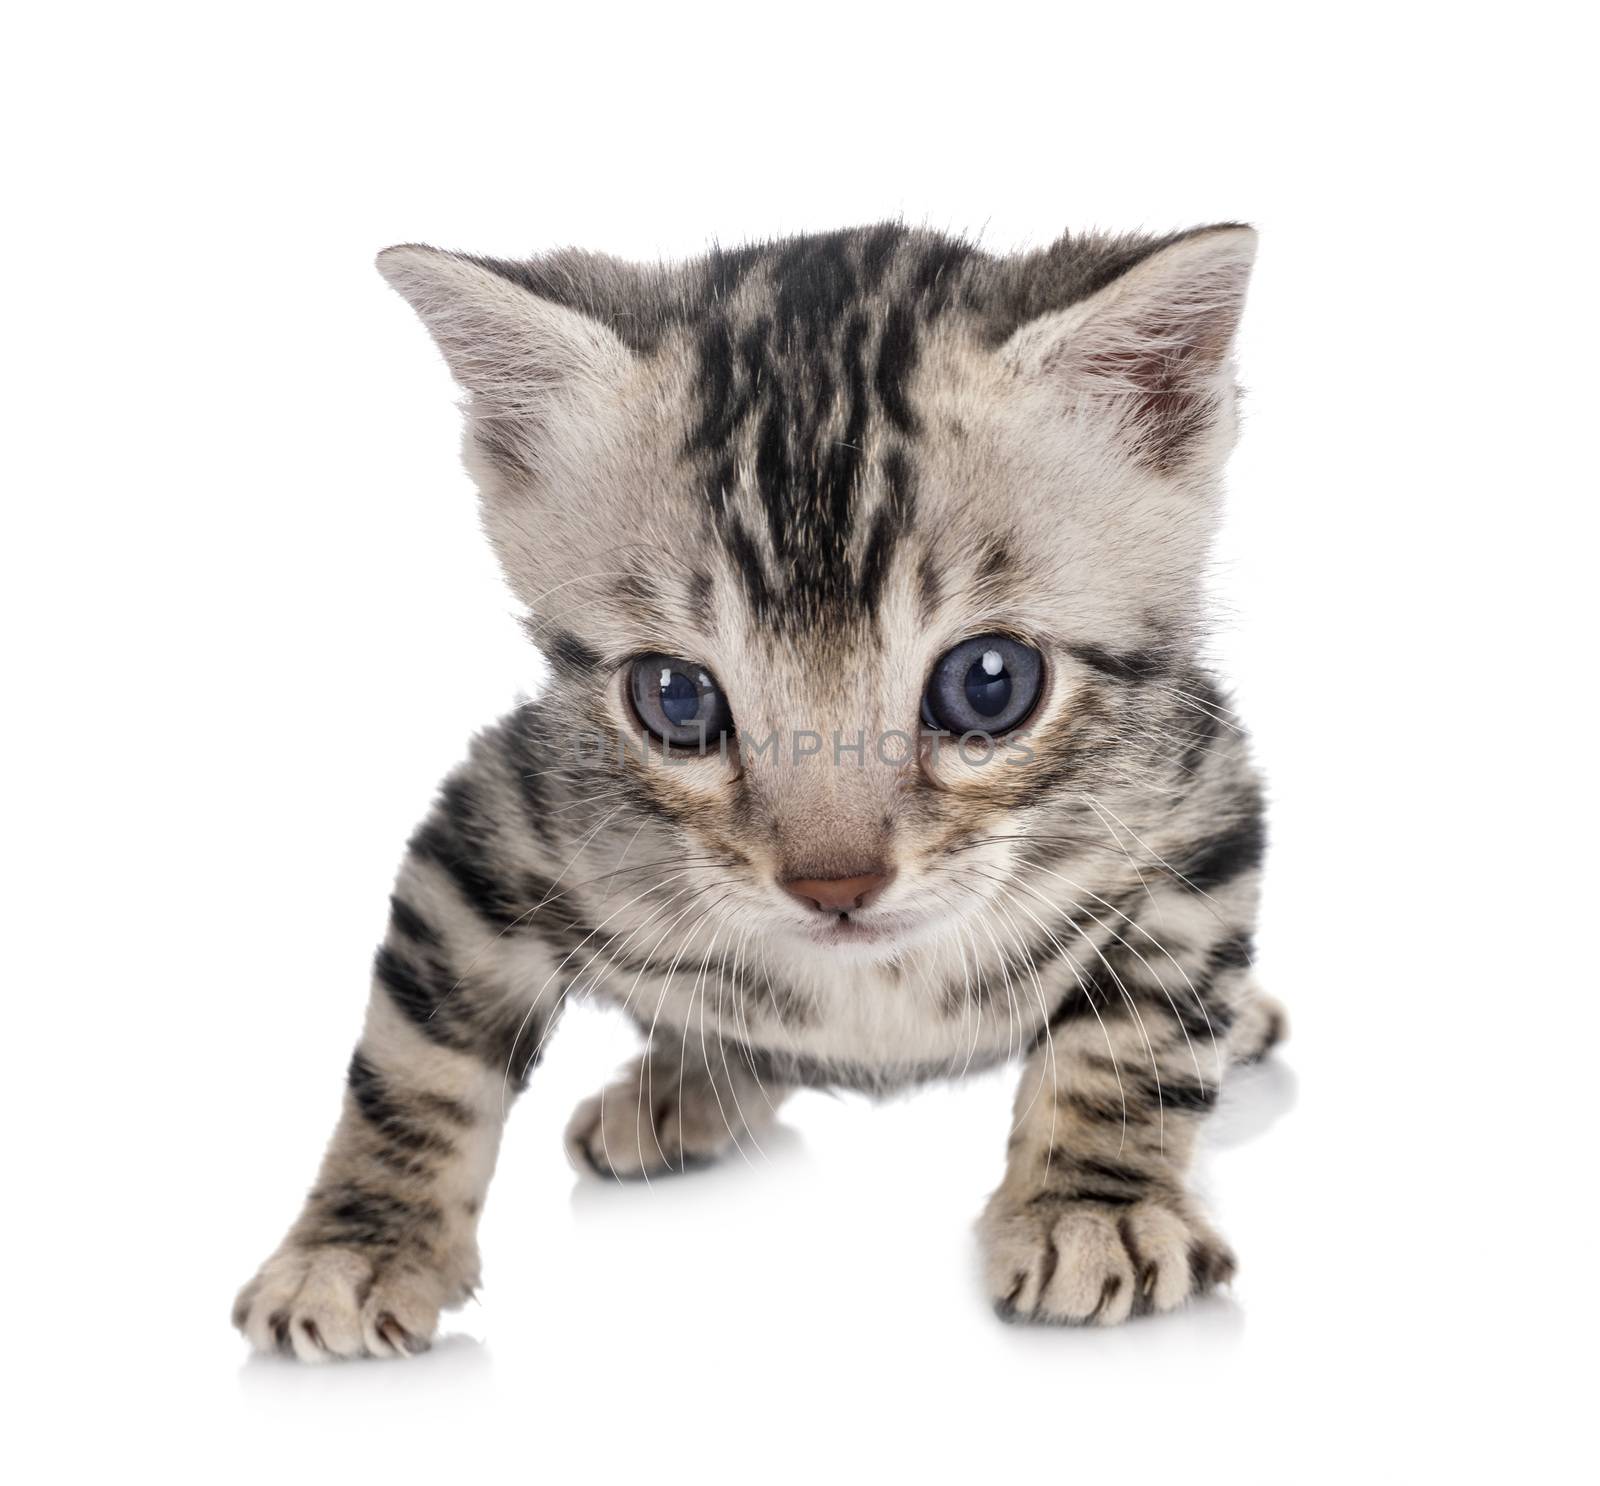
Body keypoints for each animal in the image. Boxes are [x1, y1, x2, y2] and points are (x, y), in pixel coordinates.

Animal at [233, 217, 1286, 1356]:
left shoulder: (1198, 801)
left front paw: (1093, 1209)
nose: (834, 886)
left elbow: (1145, 1023)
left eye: (989, 682)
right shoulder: (497, 824)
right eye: (675, 696)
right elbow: (411, 1060)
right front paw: (357, 1243)